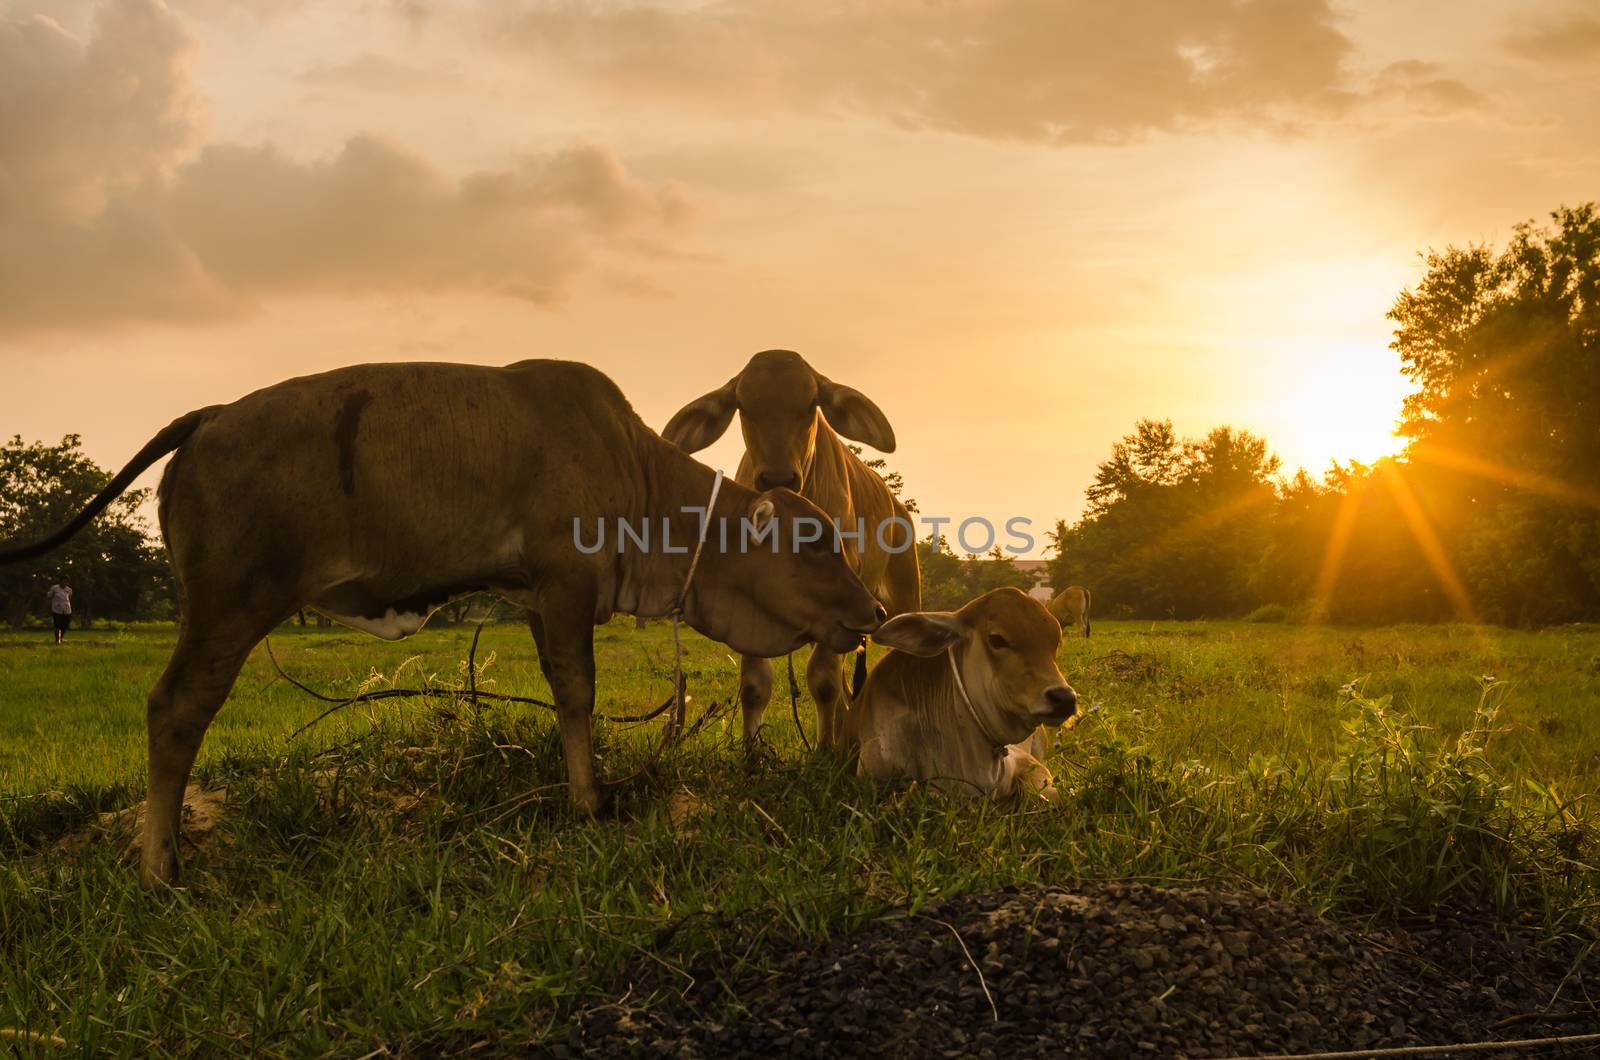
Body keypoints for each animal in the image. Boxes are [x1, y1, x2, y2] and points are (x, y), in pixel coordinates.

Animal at [0, 361, 889, 890]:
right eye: (814, 543)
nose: (875, 611)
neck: (641, 481)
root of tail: (213, 415)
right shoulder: (567, 584)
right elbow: (579, 693)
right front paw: (589, 801)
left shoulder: (535, 598)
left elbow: (564, 692)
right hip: (229, 605)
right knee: (176, 709)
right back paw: (160, 863)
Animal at [662, 352, 921, 752]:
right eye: (744, 407)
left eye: (810, 405)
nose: (778, 478)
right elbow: (755, 683)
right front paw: (752, 752)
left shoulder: (845, 597)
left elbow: (824, 681)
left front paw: (823, 750)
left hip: (904, 599)